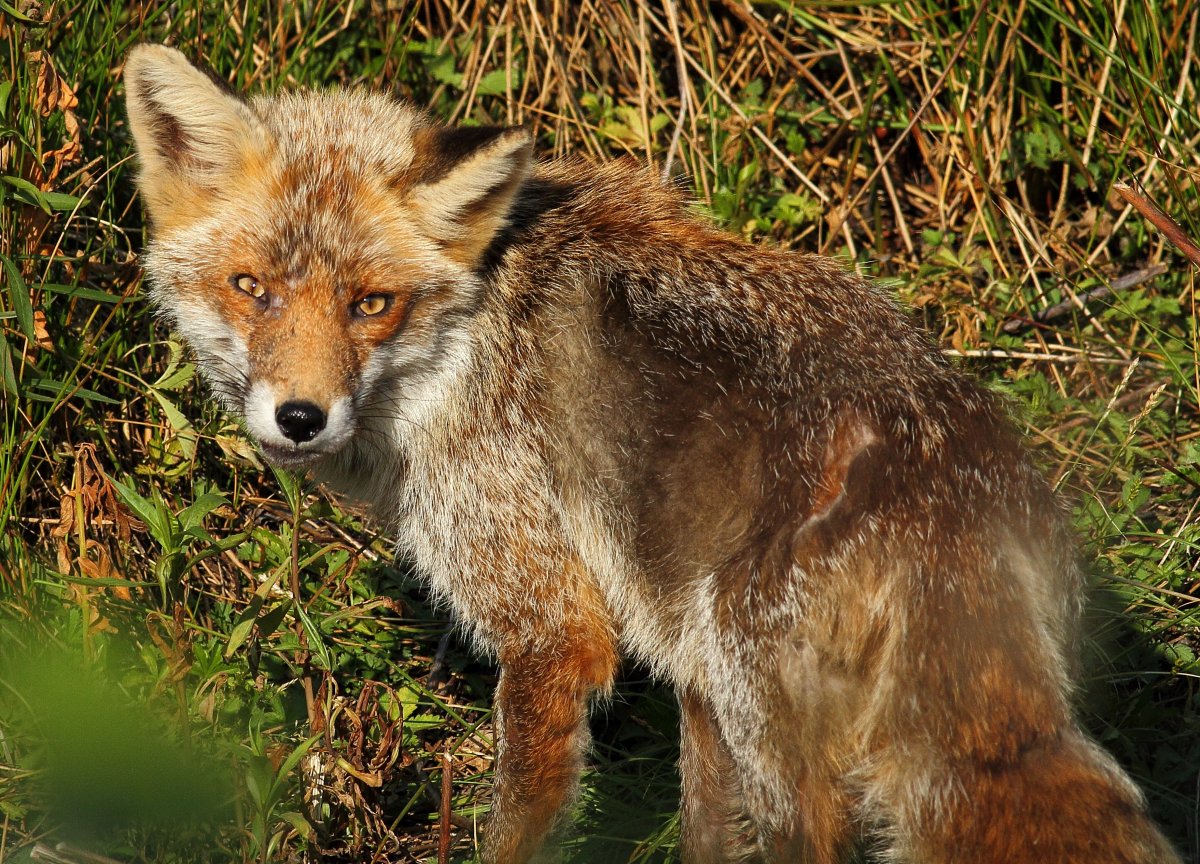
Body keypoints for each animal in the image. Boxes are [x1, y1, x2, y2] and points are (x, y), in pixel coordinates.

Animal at [126, 45, 1176, 864]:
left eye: (369, 304)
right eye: (252, 288)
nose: (300, 417)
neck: (462, 345)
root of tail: (948, 474)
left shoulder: (552, 622)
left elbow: (523, 817)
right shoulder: (676, 657)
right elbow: (706, 829)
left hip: (766, 707)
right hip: (734, 676)